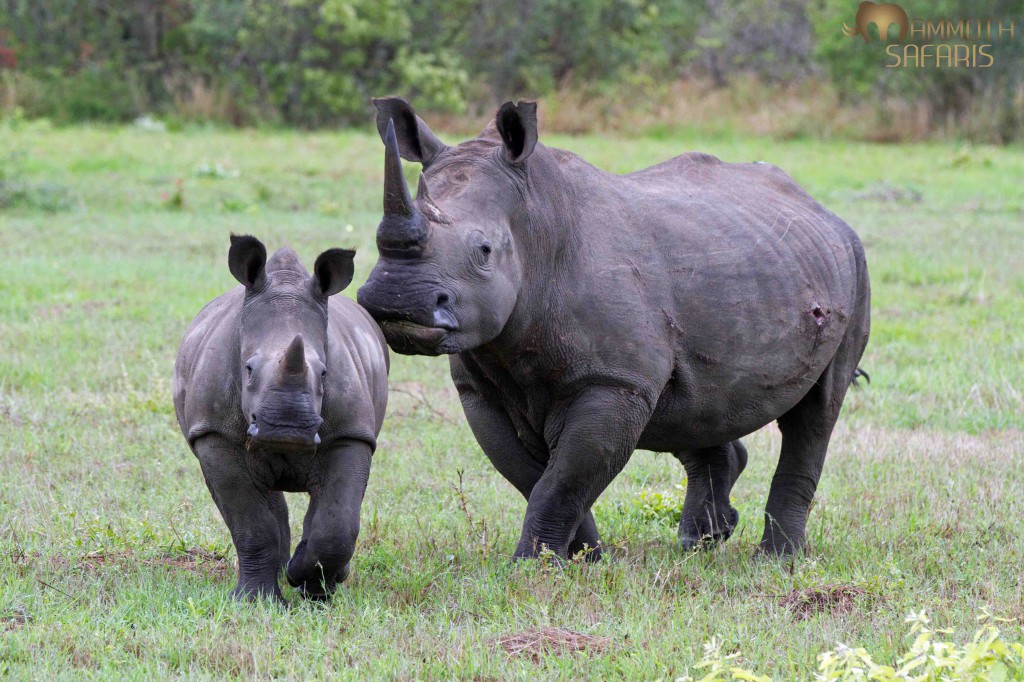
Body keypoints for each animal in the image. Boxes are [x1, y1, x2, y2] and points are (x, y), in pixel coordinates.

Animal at [174, 235, 389, 600]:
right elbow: (251, 523)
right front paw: (254, 601)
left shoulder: (350, 433)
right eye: (248, 369)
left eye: (324, 374)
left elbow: (337, 524)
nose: (287, 429)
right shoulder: (215, 433)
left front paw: (311, 589)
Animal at [357, 98, 870, 561]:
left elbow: (562, 479)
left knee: (818, 410)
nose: (396, 300)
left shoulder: (613, 382)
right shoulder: (481, 389)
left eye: (483, 251)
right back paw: (699, 543)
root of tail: (818, 207)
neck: (535, 223)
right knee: (694, 406)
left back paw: (778, 558)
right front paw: (582, 558)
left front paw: (534, 564)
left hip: (855, 263)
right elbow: (536, 477)